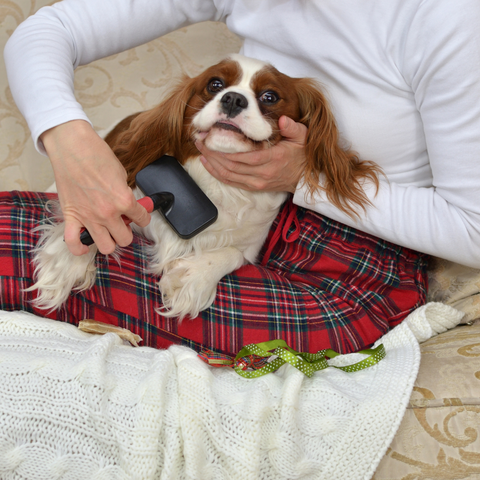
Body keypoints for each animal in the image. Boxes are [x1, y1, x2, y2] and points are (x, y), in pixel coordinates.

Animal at [28, 53, 380, 318]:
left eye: (269, 96)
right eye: (215, 84)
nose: (233, 99)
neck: (217, 185)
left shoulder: (250, 245)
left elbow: (231, 254)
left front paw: (190, 277)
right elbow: (94, 217)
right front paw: (65, 261)